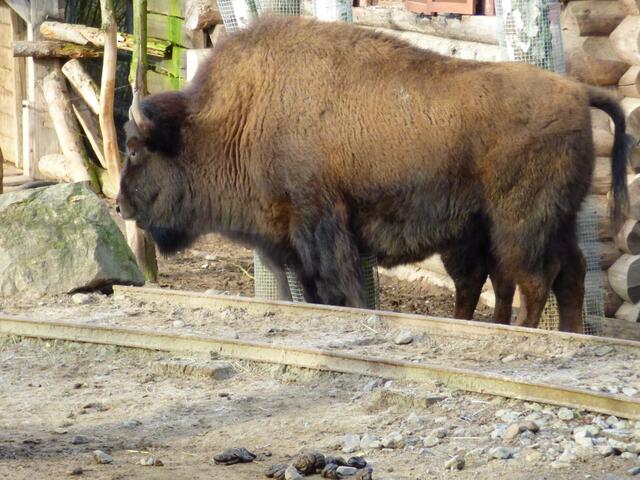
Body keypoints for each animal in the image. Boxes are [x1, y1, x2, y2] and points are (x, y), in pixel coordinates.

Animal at [117, 16, 629, 333]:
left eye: (136, 149)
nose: (120, 205)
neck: (235, 118)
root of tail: (577, 92)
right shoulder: (294, 243)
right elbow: (315, 290)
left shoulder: (320, 225)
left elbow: (341, 286)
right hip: (553, 218)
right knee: (569, 273)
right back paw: (569, 334)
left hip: (519, 223)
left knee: (535, 278)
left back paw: (526, 332)